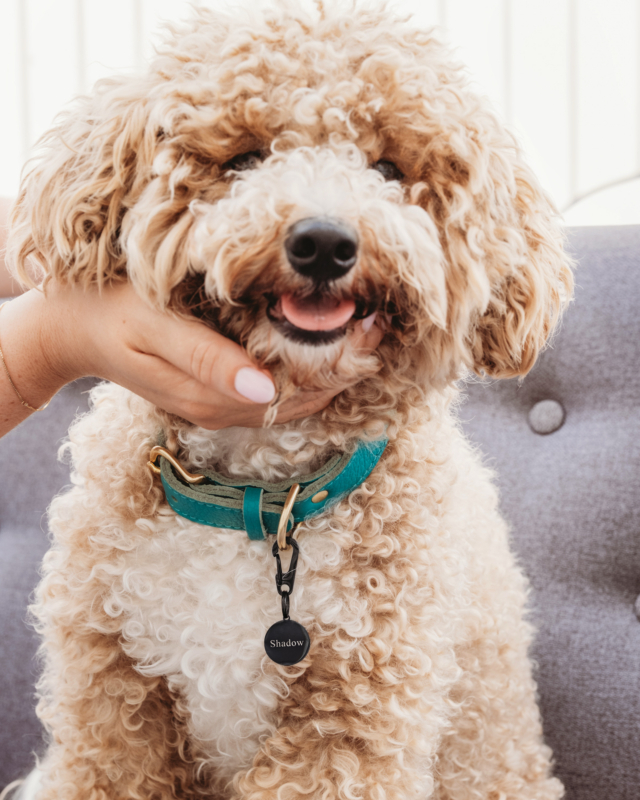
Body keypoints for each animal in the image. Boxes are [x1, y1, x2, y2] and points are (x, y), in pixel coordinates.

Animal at [6, 3, 576, 796]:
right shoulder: (111, 704)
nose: (324, 242)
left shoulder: (348, 728)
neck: (262, 490)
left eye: (388, 170)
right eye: (245, 158)